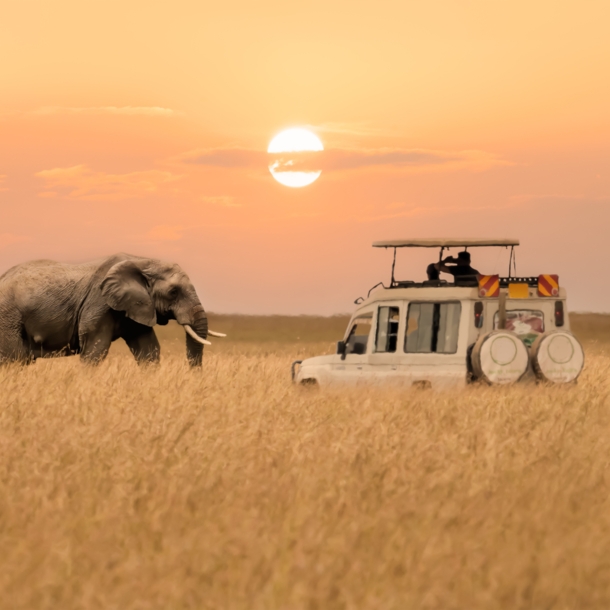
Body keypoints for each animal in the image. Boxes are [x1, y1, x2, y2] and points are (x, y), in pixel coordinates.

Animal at [0, 253, 224, 366]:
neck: (142, 261)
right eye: (173, 292)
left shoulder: (137, 307)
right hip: (8, 317)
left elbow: (148, 350)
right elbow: (95, 349)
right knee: (13, 360)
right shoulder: (99, 303)